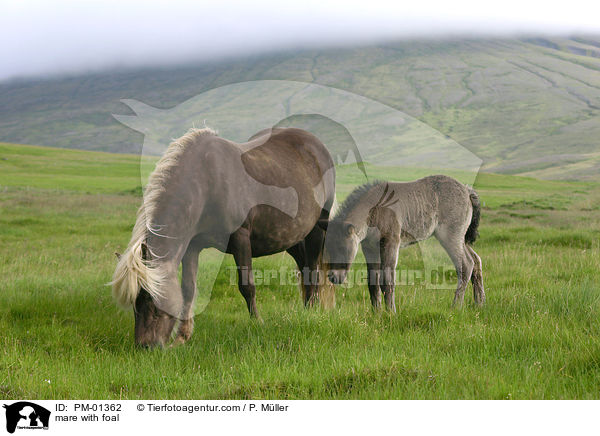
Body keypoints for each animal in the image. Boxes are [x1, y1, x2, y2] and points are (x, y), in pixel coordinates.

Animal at [112, 127, 336, 348]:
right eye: (135, 301)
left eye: (152, 298)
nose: (145, 346)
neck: (206, 182)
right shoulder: (192, 246)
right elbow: (188, 289)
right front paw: (182, 336)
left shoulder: (240, 238)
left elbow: (247, 286)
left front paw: (258, 323)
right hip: (292, 238)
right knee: (304, 267)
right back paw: (307, 307)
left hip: (317, 229)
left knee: (313, 270)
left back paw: (312, 310)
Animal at [326, 175, 486, 312]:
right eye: (328, 249)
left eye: (342, 248)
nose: (333, 277)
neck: (375, 210)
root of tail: (467, 190)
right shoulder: (370, 248)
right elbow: (373, 282)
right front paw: (376, 313)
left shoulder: (391, 242)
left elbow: (387, 280)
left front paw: (391, 313)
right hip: (461, 238)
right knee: (476, 261)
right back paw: (479, 304)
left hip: (450, 236)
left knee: (466, 264)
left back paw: (456, 307)